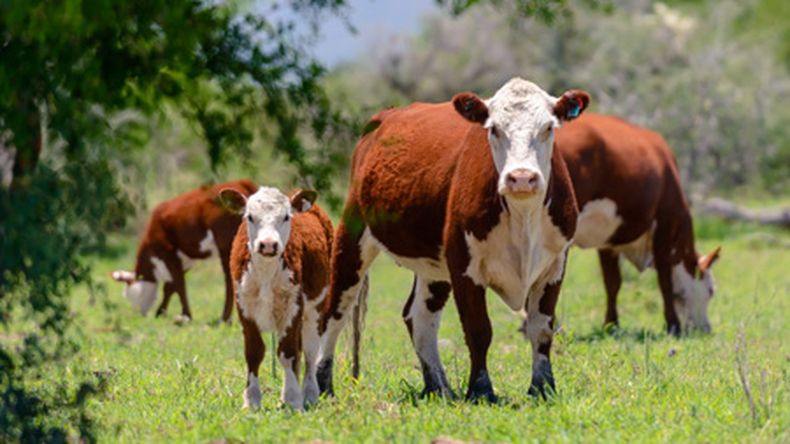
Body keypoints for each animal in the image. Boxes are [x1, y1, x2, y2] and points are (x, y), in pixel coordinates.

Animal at [110, 179, 256, 320]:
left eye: (128, 295)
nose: (140, 314)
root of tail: (242, 182)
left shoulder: (167, 253)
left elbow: (179, 284)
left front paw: (186, 315)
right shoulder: (185, 259)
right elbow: (170, 286)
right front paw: (161, 312)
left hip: (226, 247)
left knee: (230, 281)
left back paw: (225, 318)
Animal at [221, 186, 332, 412]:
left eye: (286, 216)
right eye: (250, 216)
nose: (268, 244)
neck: (266, 271)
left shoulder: (293, 306)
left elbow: (288, 352)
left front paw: (292, 399)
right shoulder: (244, 306)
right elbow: (254, 352)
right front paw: (252, 400)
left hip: (316, 309)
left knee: (310, 352)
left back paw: (309, 394)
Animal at [318, 77, 592, 402]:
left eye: (548, 127)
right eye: (494, 129)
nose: (522, 178)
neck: (523, 216)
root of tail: (386, 116)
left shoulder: (555, 265)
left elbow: (541, 328)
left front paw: (542, 387)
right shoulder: (464, 264)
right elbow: (479, 330)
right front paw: (481, 389)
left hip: (434, 266)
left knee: (419, 317)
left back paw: (439, 387)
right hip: (352, 234)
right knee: (335, 311)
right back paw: (322, 385)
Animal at [552, 114, 724, 332]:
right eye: (711, 290)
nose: (706, 328)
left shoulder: (608, 239)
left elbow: (612, 282)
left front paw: (612, 324)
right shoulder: (665, 224)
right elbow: (665, 280)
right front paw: (673, 324)